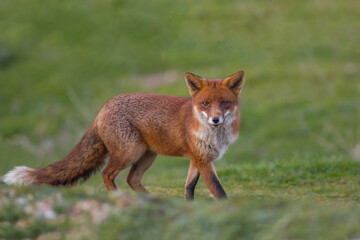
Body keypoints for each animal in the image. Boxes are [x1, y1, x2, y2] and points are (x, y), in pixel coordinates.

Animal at [3, 70, 245, 200]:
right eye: (206, 104)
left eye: (225, 103)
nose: (215, 120)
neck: (213, 134)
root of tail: (104, 107)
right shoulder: (203, 160)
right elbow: (217, 189)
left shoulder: (197, 158)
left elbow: (189, 187)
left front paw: (188, 205)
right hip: (130, 152)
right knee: (107, 174)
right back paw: (116, 195)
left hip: (147, 155)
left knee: (132, 179)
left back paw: (150, 199)